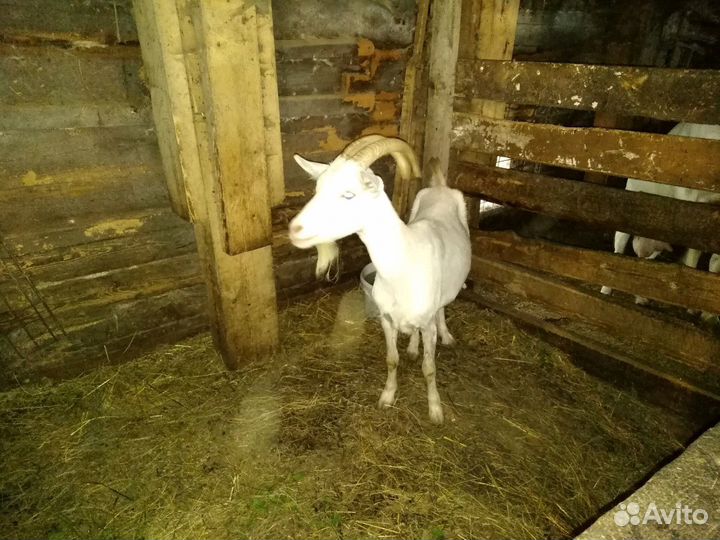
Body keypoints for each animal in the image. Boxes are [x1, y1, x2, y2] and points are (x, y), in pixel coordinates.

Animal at [288, 136, 471, 424]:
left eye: (349, 194)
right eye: (317, 189)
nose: (295, 229)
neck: (403, 267)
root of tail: (440, 187)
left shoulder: (427, 323)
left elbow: (429, 368)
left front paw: (435, 410)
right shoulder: (386, 319)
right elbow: (391, 360)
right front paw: (387, 397)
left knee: (442, 307)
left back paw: (446, 335)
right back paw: (413, 347)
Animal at [601, 122, 720, 318]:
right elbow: (694, 253)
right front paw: (692, 309)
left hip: (656, 243)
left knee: (644, 263)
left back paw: (642, 300)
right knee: (618, 250)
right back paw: (606, 292)